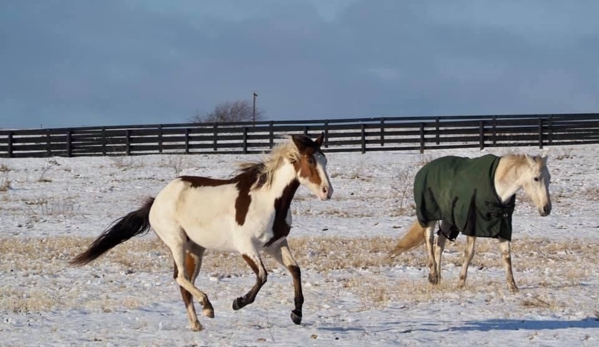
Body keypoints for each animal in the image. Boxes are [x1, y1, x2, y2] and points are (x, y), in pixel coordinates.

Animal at [71, 133, 332, 332]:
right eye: (310, 160)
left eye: (325, 160)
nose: (327, 192)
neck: (268, 201)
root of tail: (156, 201)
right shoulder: (246, 246)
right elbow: (262, 276)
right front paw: (238, 302)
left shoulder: (276, 244)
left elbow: (295, 270)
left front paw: (296, 314)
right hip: (176, 242)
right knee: (180, 278)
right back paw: (207, 307)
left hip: (195, 250)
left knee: (184, 282)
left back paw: (196, 323)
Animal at [390, 154, 552, 292]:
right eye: (536, 178)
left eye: (549, 178)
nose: (546, 209)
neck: (497, 187)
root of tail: (424, 169)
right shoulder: (472, 225)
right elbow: (469, 253)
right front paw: (461, 282)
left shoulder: (503, 226)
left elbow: (506, 255)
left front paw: (513, 286)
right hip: (429, 216)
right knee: (429, 241)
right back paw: (433, 274)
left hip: (447, 219)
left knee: (439, 244)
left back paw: (437, 278)